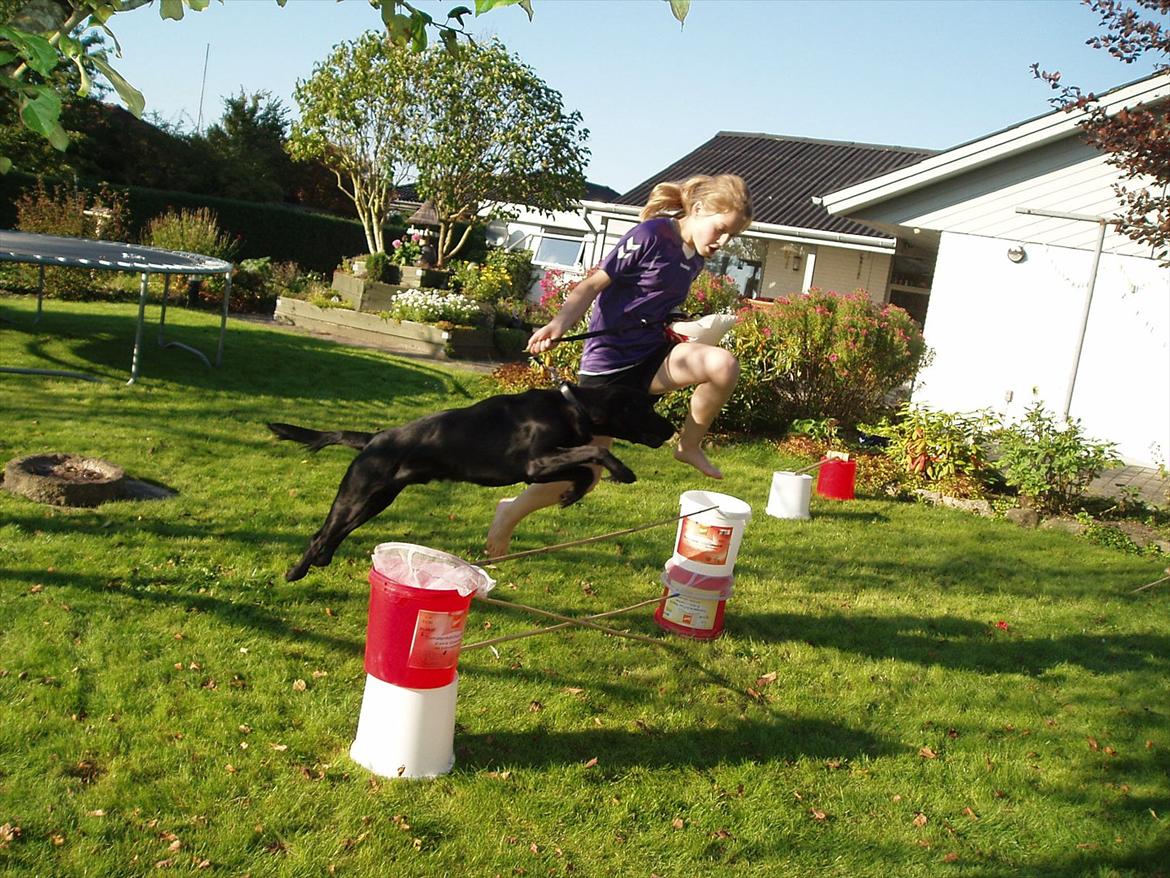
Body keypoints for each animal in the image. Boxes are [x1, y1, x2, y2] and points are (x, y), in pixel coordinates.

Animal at [267, 386, 673, 585]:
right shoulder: (534, 463)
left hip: (375, 500)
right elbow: (593, 453)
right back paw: (295, 573)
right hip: (357, 495)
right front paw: (622, 470)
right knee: (321, 533)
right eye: (646, 409)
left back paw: (320, 562)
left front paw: (571, 495)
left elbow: (583, 470)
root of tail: (372, 439)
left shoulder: (538, 469)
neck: (571, 406)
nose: (671, 429)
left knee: (334, 533)